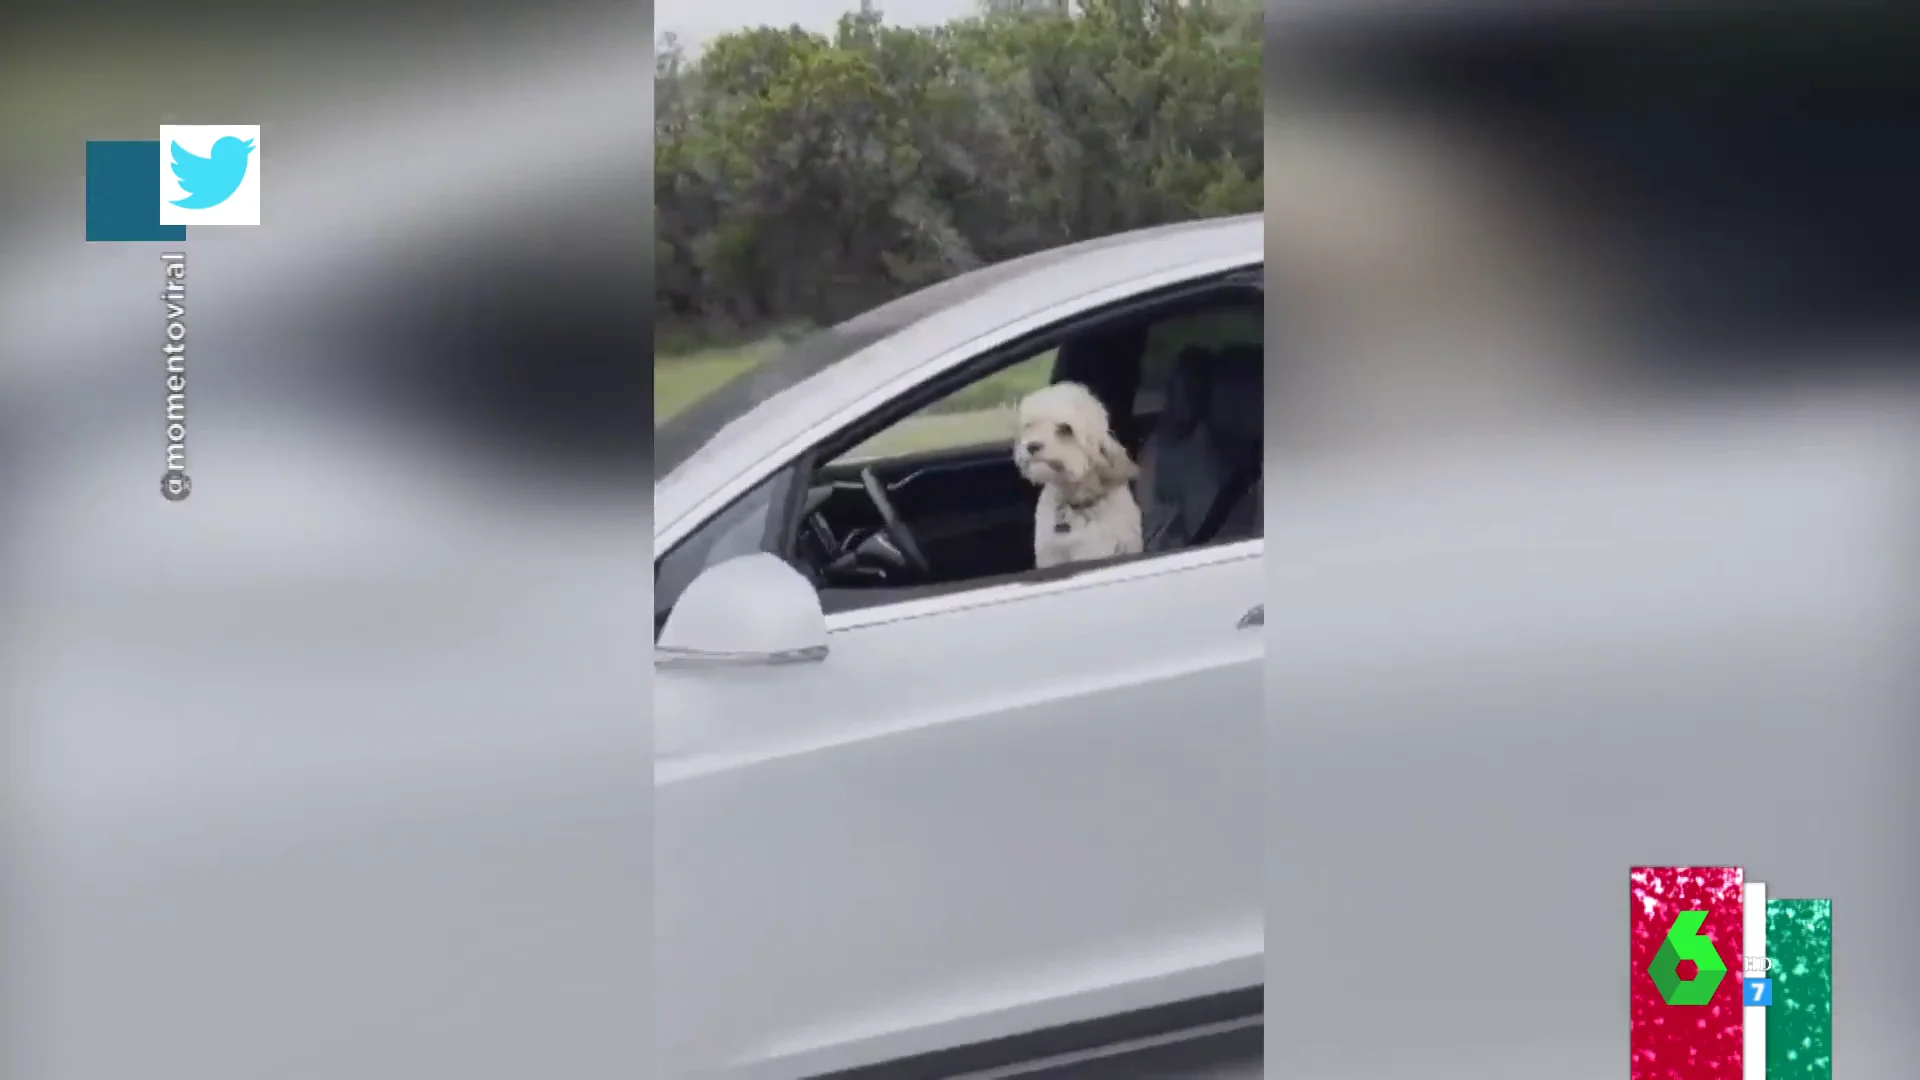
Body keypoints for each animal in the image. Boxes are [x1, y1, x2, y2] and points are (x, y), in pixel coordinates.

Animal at [1021, 378, 1136, 568]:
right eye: (1030, 425)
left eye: (1065, 429)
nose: (1031, 446)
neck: (1075, 502)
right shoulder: (1049, 552)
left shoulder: (1095, 548)